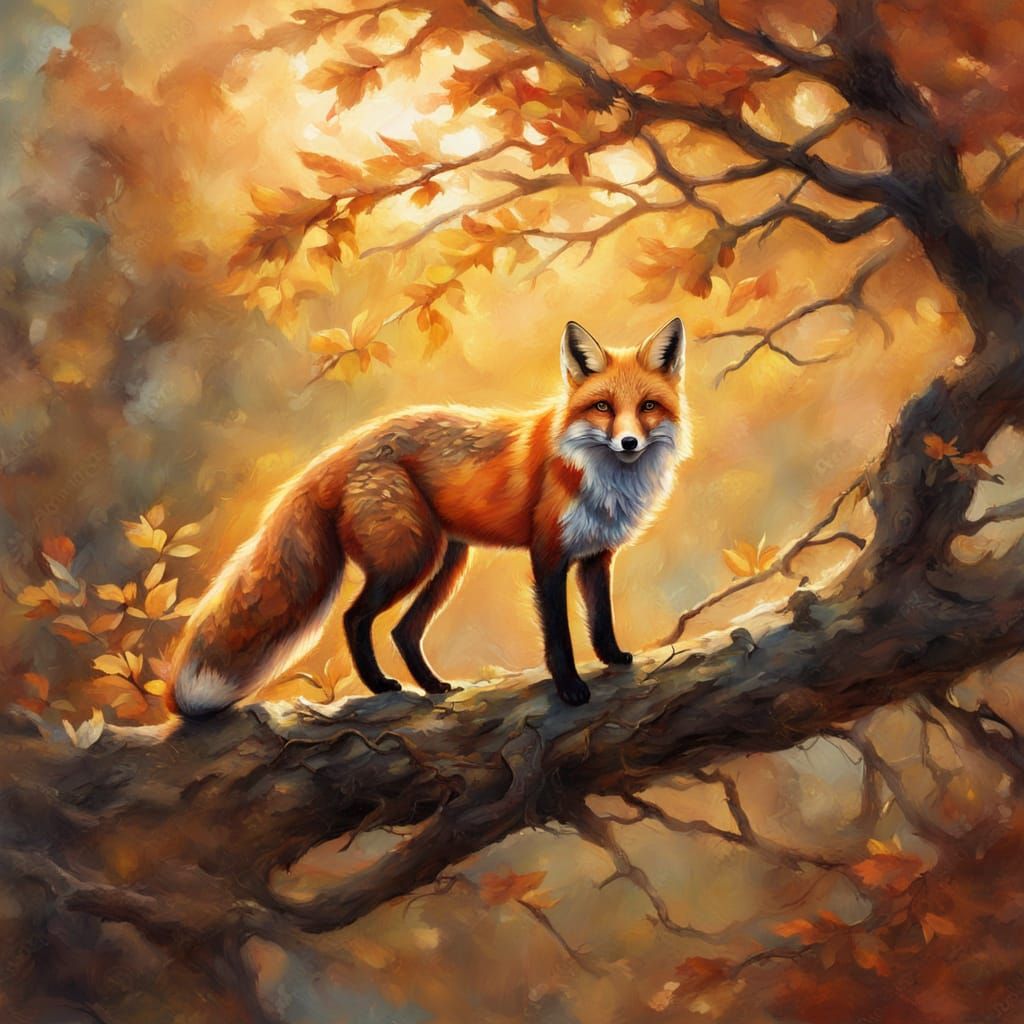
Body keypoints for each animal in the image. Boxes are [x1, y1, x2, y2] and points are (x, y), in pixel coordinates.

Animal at [167, 316, 690, 716]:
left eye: (647, 407)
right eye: (602, 406)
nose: (628, 442)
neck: (600, 479)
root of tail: (342, 448)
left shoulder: (596, 555)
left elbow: (600, 619)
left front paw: (613, 658)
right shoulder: (548, 555)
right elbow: (558, 635)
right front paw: (569, 687)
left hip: (446, 562)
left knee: (403, 630)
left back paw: (432, 686)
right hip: (410, 559)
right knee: (355, 618)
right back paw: (379, 685)